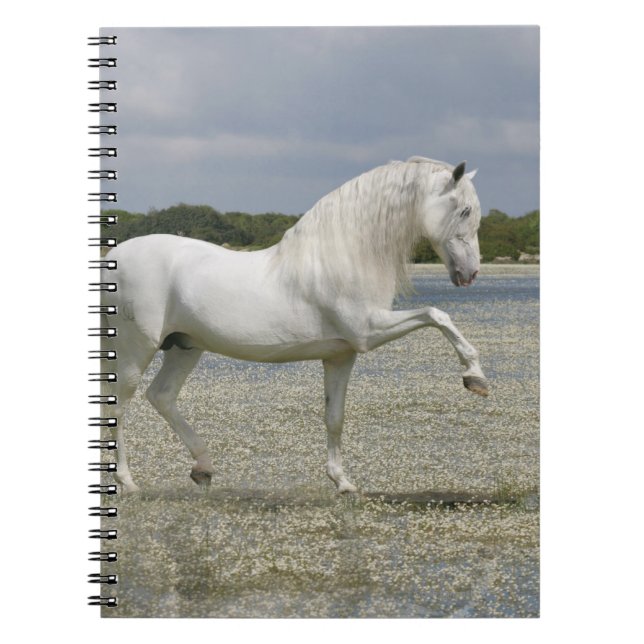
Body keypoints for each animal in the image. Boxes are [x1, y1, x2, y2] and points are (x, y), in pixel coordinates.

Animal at [101, 156, 488, 494]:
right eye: (465, 210)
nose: (469, 274)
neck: (344, 256)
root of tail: (113, 258)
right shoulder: (368, 331)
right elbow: (437, 315)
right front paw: (475, 377)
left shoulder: (342, 355)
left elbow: (334, 417)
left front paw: (342, 482)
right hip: (137, 350)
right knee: (119, 406)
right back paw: (129, 482)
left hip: (185, 347)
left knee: (161, 396)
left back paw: (203, 468)